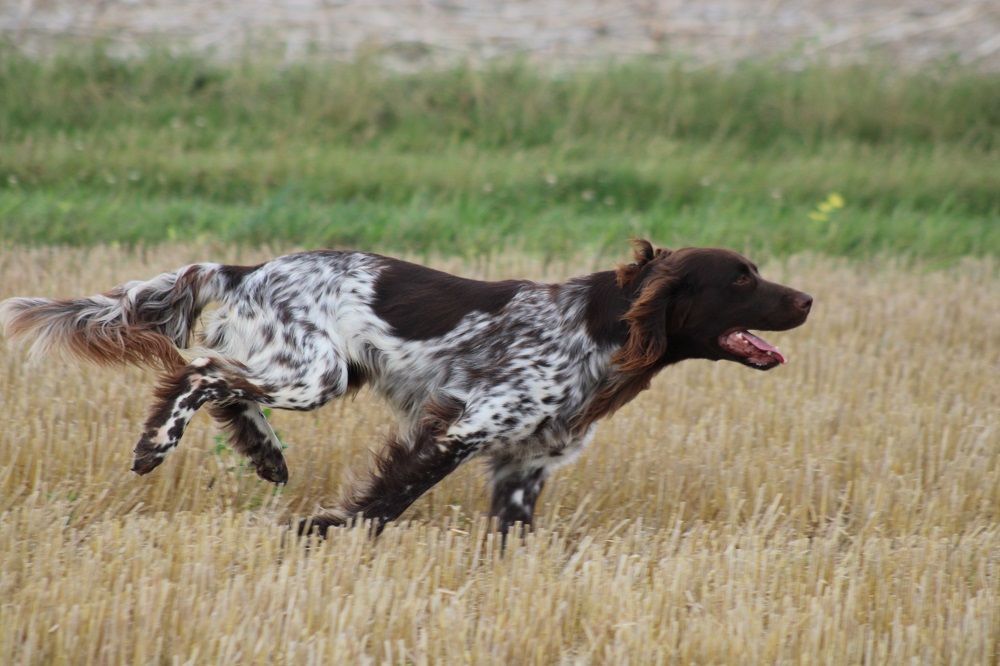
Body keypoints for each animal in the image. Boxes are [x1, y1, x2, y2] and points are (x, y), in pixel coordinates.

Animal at [0, 239, 808, 536]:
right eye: (742, 279)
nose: (807, 300)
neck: (601, 328)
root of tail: (246, 267)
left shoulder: (523, 466)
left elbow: (511, 535)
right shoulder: (464, 425)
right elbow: (389, 497)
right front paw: (324, 530)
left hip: (314, 370)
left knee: (229, 389)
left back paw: (266, 456)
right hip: (316, 373)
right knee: (195, 374)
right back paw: (157, 446)